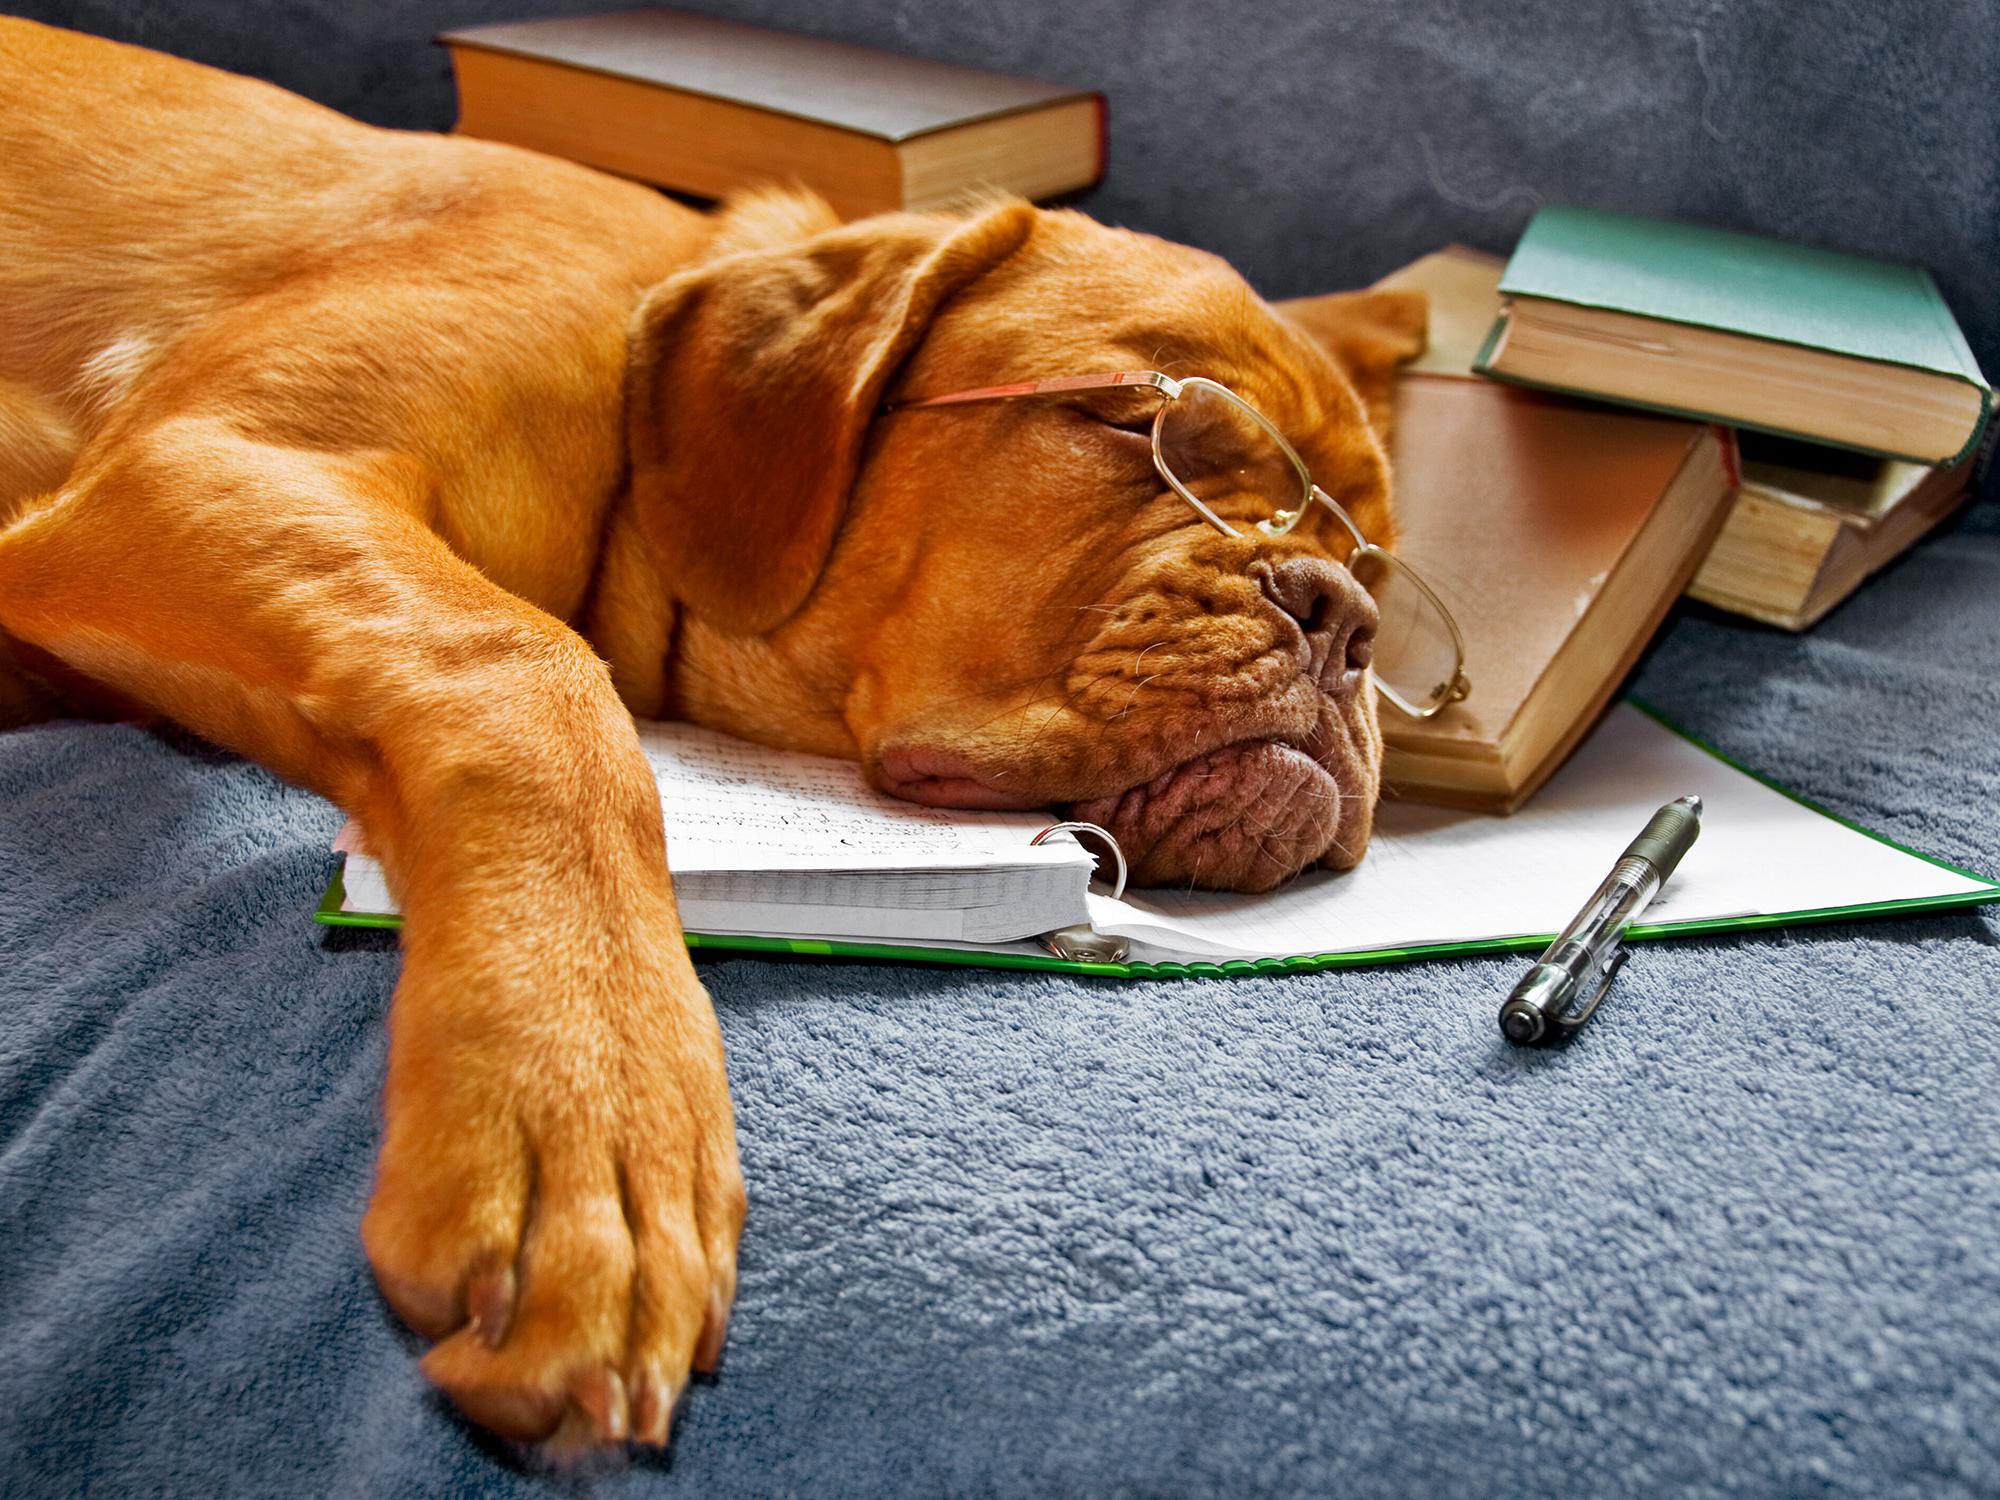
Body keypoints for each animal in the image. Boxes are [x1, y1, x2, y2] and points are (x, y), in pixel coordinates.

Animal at [7, 17, 1432, 1456]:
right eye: (1151, 428)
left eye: (1379, 557)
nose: (1344, 612)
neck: (640, 399)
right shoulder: (211, 465)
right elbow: (531, 676)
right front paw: (587, 1097)